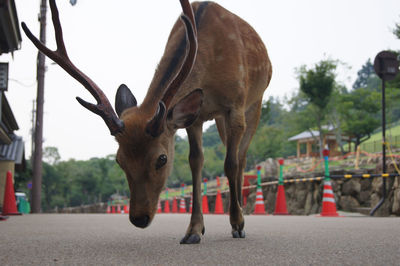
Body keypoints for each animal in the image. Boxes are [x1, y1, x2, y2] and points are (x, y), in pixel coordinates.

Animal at [21, 0, 272, 244]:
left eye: (162, 159)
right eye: (119, 160)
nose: (139, 218)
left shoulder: (235, 104)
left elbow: (230, 163)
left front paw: (237, 222)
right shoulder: (195, 118)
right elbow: (195, 162)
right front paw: (193, 231)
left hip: (254, 105)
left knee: (241, 157)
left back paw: (239, 219)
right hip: (219, 119)